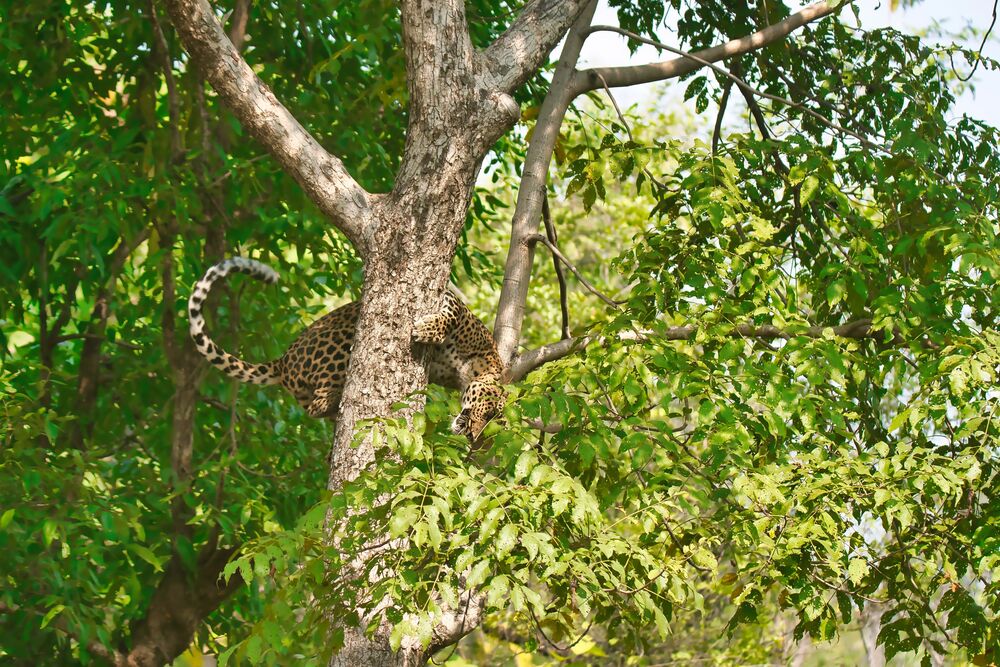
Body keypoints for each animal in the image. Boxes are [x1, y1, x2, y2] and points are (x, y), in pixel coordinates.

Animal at [188, 257, 506, 440]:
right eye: (489, 412)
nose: (473, 437)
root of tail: (283, 361)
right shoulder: (457, 307)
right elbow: (450, 313)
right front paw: (426, 330)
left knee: (313, 409)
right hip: (341, 341)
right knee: (318, 401)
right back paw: (336, 395)